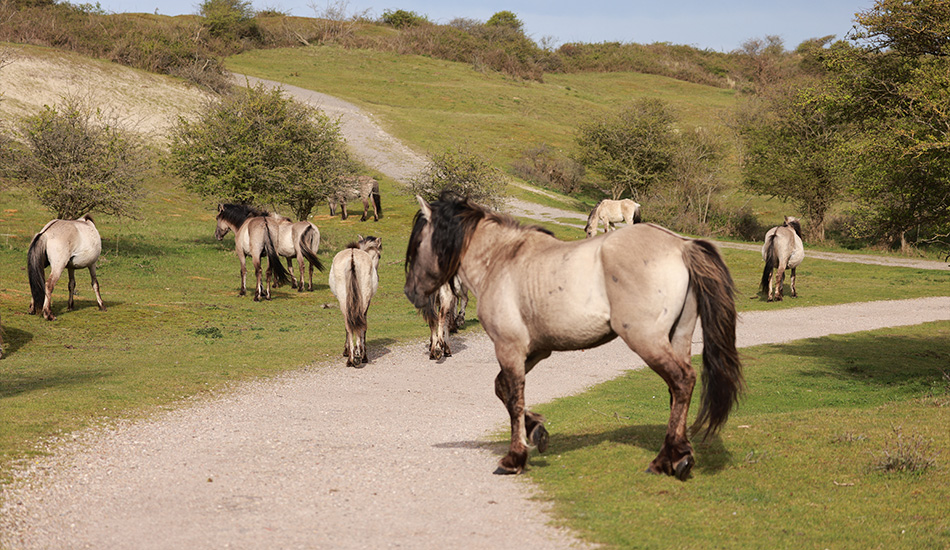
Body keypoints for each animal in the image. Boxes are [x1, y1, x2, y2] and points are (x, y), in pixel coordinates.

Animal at [330, 236, 384, 368]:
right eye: (379, 256)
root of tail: (352, 257)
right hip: (361, 301)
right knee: (359, 324)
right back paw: (359, 356)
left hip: (345, 302)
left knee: (349, 326)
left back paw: (353, 358)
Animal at [404, 195, 744, 484]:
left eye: (418, 243)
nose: (411, 292)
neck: (502, 261)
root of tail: (680, 246)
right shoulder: (536, 350)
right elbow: (502, 388)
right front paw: (537, 431)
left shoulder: (509, 347)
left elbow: (514, 398)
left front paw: (515, 458)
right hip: (678, 337)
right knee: (678, 389)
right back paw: (676, 456)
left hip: (646, 340)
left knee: (682, 381)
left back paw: (668, 460)